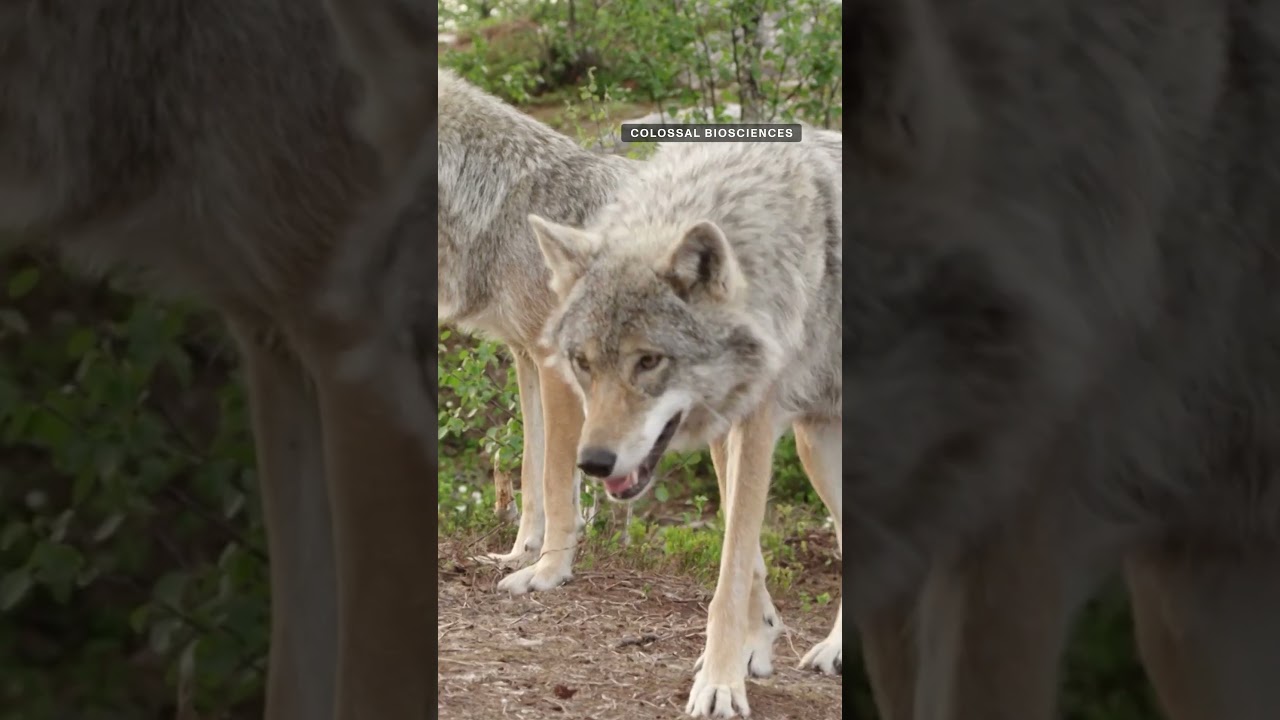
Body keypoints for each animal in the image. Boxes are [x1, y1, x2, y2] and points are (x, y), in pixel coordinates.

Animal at [529, 128, 844, 718]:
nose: (593, 461)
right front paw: (751, 648)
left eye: (649, 361)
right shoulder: (727, 424)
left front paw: (720, 683)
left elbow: (732, 569)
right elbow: (746, 559)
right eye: (583, 363)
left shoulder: (757, 423)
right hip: (816, 447)